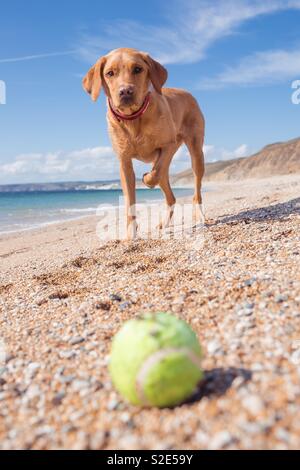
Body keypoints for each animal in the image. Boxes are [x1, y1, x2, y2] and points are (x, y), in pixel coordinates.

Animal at [83, 47, 205, 239]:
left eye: (137, 69)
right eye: (110, 73)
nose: (125, 91)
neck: (133, 118)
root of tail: (187, 92)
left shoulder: (169, 144)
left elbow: (153, 175)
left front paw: (146, 179)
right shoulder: (124, 162)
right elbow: (130, 201)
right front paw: (130, 234)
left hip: (196, 153)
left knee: (194, 190)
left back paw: (200, 216)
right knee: (170, 195)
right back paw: (164, 224)